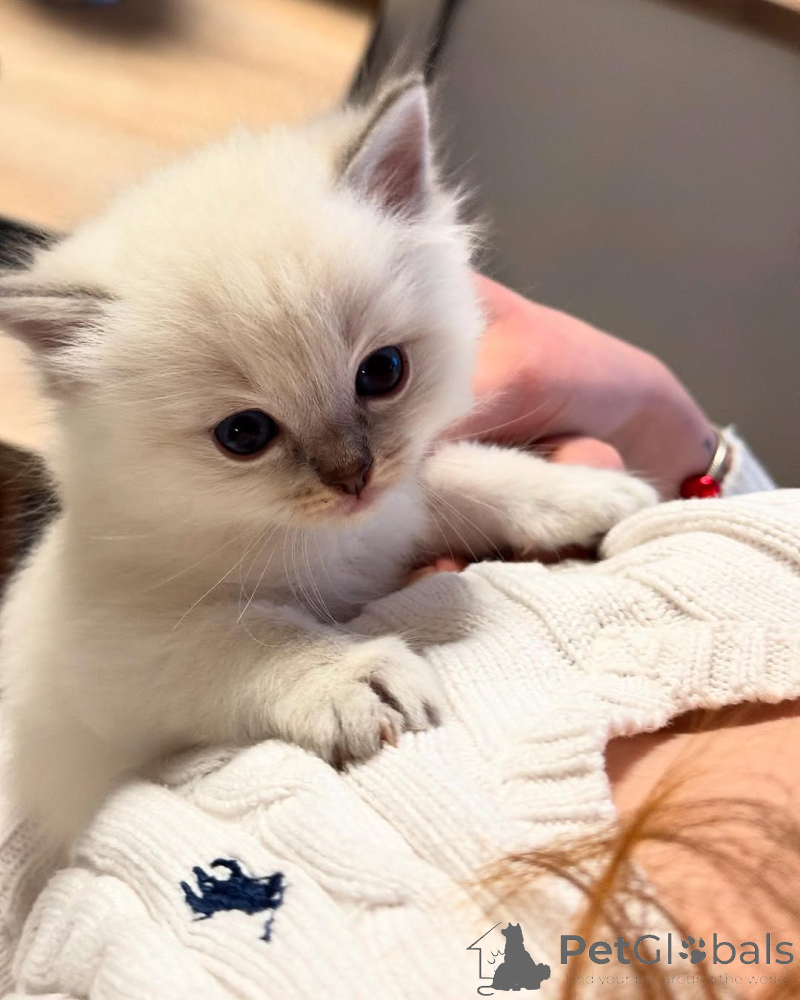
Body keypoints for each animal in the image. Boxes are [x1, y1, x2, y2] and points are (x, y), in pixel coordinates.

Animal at [0, 77, 657, 844]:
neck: (318, 540)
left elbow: (463, 474)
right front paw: (352, 679)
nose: (353, 478)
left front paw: (586, 494)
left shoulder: (396, 510)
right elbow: (252, 635)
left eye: (383, 372)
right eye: (244, 434)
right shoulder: (122, 657)